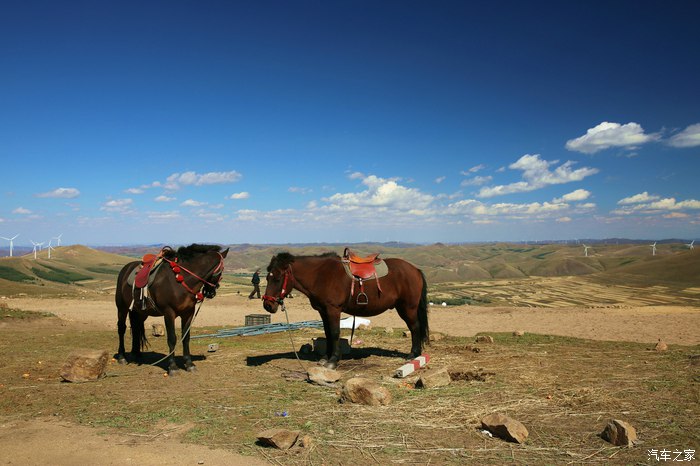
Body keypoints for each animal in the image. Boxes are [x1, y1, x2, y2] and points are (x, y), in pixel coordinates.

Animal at [115, 244, 227, 374]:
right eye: (221, 272)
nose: (211, 293)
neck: (181, 280)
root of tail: (125, 269)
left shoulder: (188, 313)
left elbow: (186, 338)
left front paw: (189, 364)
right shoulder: (169, 313)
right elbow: (172, 338)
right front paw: (172, 366)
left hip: (139, 312)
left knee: (136, 328)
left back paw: (136, 354)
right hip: (122, 308)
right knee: (121, 329)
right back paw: (122, 357)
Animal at [262, 246, 426, 370]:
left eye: (278, 278)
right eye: (267, 277)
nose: (267, 305)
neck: (320, 275)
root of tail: (415, 269)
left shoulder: (333, 310)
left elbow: (335, 333)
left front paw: (333, 360)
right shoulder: (323, 311)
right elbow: (327, 333)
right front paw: (325, 358)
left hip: (408, 308)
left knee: (415, 327)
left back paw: (413, 354)